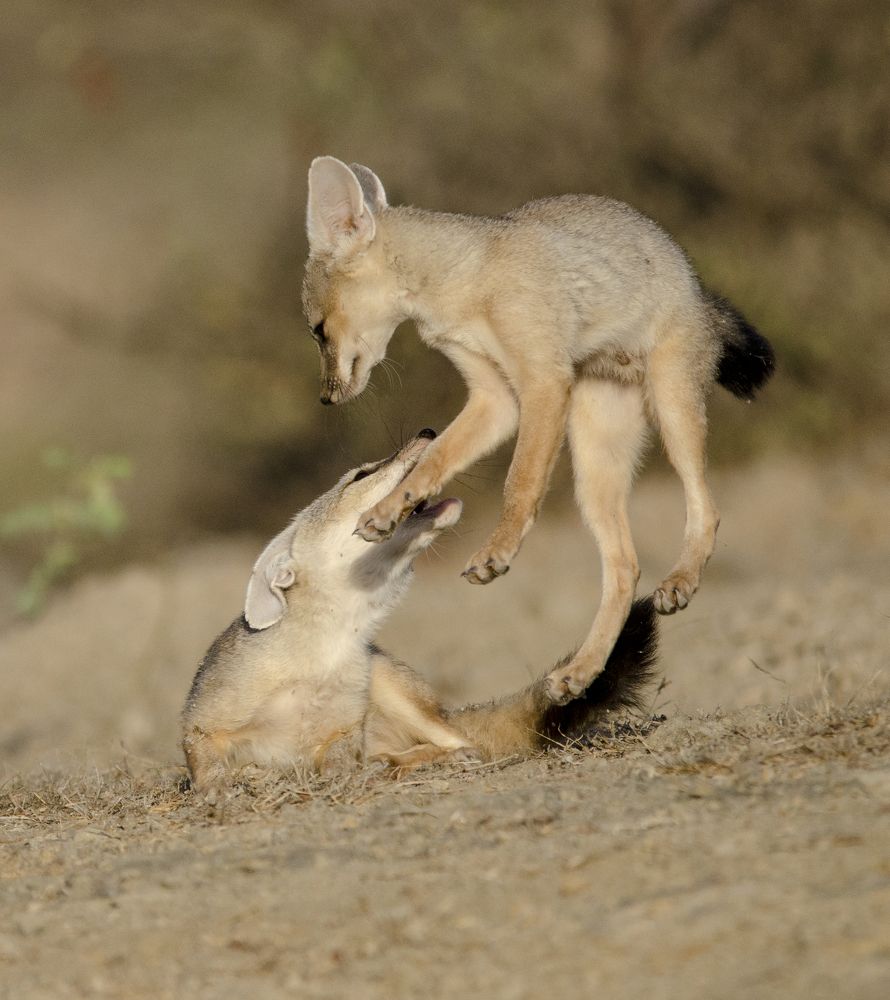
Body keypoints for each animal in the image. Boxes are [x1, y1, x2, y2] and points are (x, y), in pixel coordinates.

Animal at [181, 431, 658, 798]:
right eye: (361, 475)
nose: (429, 432)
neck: (321, 656)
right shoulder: (202, 725)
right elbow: (206, 765)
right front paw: (223, 786)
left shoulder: (342, 733)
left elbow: (336, 762)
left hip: (390, 686)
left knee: (461, 744)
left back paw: (415, 762)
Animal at [300, 157, 774, 704]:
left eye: (317, 330)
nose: (326, 398)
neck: (464, 277)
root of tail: (697, 285)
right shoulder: (496, 399)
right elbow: (433, 459)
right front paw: (388, 509)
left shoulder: (542, 382)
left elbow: (519, 482)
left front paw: (497, 551)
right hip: (594, 474)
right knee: (625, 569)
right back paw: (581, 671)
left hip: (672, 410)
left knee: (707, 510)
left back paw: (681, 580)